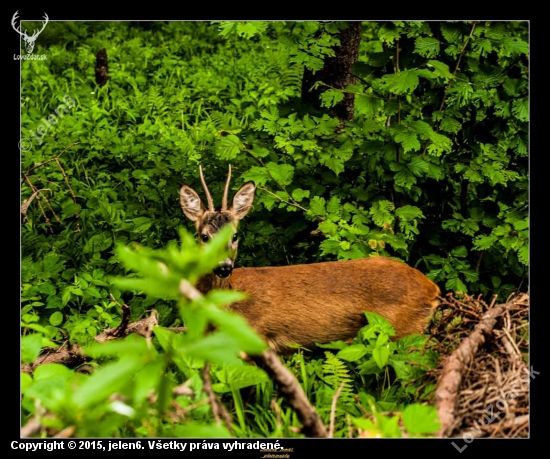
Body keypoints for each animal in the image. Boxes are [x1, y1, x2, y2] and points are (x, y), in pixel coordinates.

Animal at [179, 167, 442, 354]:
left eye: (234, 235)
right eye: (204, 236)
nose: (224, 268)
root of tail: (432, 288)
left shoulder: (255, 338)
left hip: (403, 332)